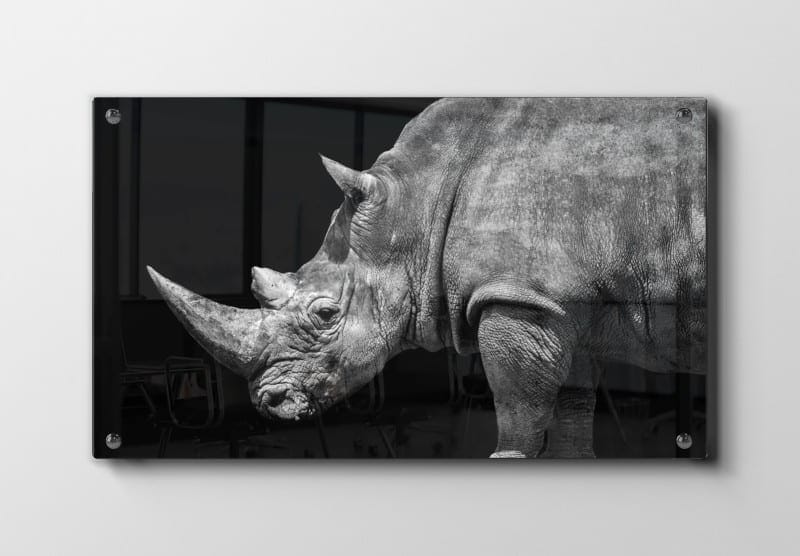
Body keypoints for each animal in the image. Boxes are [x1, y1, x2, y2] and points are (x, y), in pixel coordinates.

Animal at [148, 97, 707, 458]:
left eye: (325, 313)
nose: (270, 403)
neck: (415, 204)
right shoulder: (564, 301)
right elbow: (572, 418)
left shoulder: (518, 296)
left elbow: (519, 416)